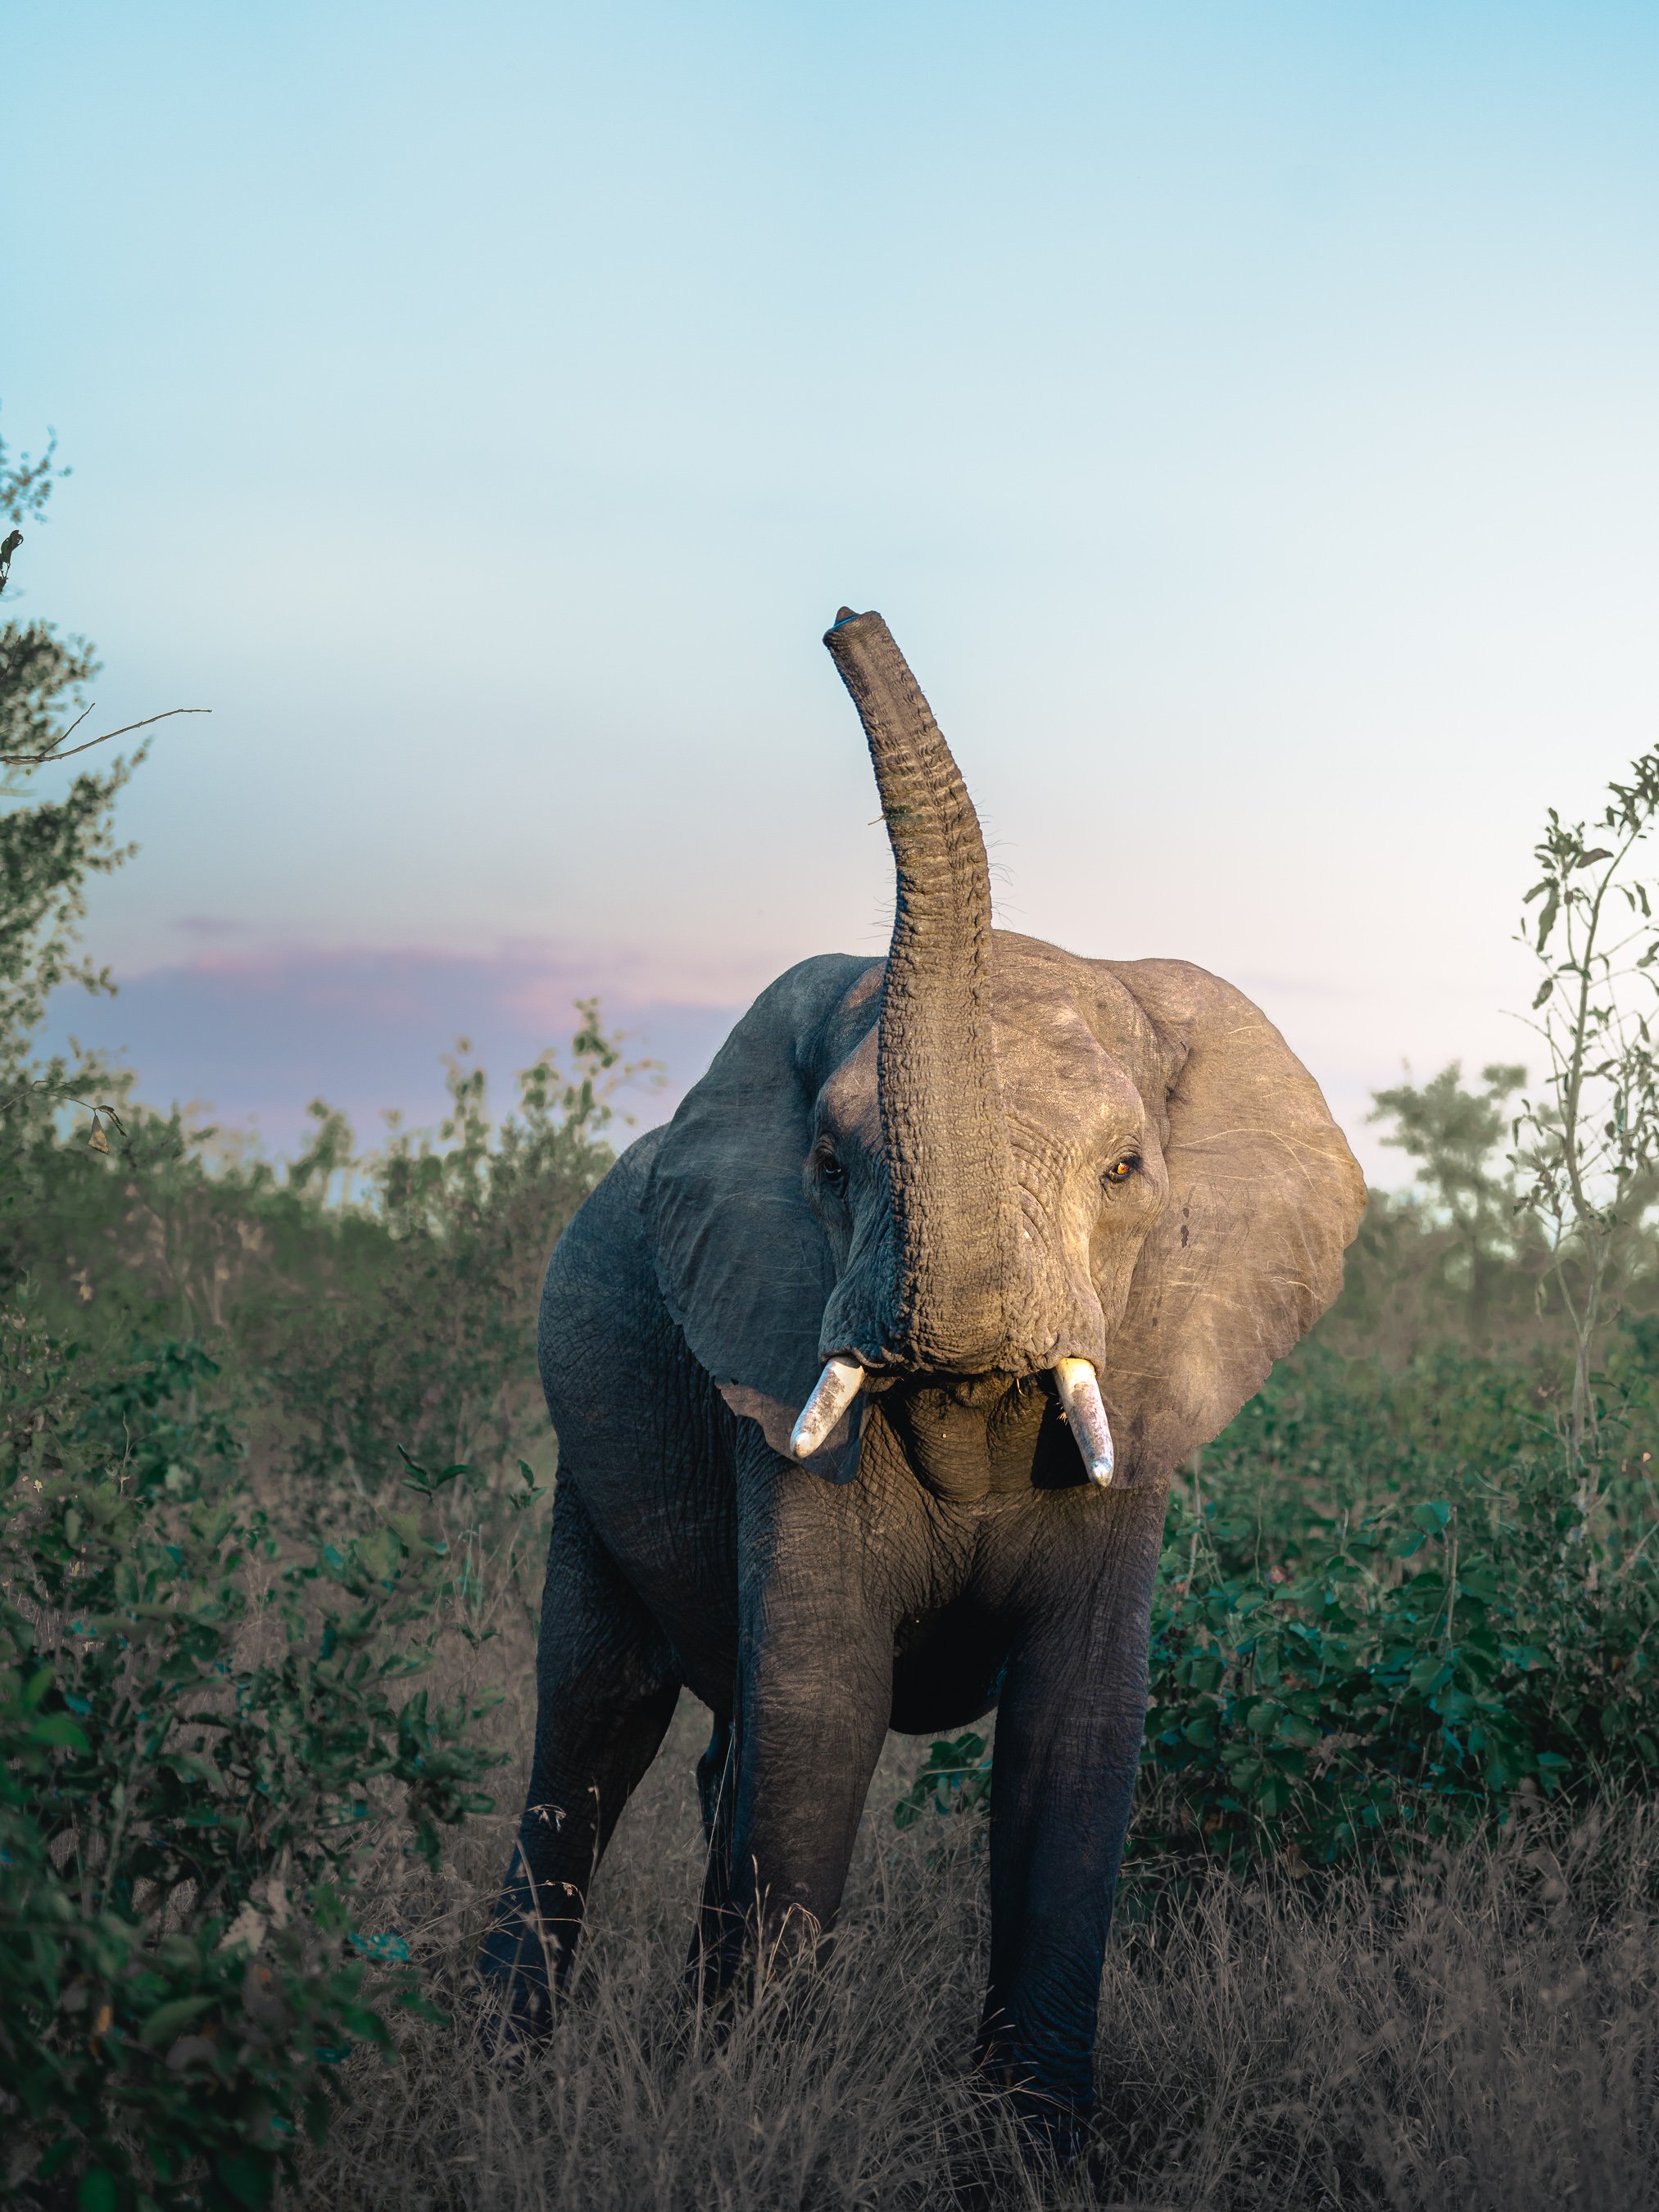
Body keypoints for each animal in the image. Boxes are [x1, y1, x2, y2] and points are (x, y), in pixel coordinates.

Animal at [482, 608, 1365, 2144]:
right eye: (834, 1168)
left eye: (1125, 1172)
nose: (848, 621)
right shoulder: (771, 1384)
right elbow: (822, 1709)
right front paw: (758, 2114)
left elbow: (1078, 1733)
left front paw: (1030, 2147)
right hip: (594, 1439)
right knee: (591, 1728)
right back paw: (502, 2070)